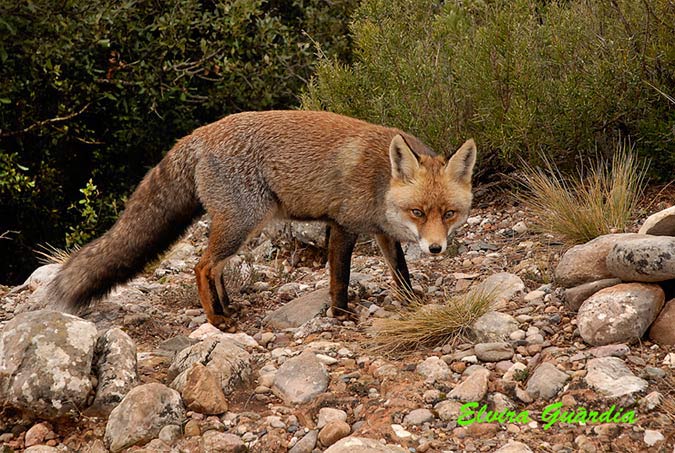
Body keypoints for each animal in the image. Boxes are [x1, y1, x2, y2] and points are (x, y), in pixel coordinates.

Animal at [47, 110, 478, 328]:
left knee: (217, 267)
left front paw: (413, 303)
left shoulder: (383, 234)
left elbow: (400, 272)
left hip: (242, 224)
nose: (435, 248)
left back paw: (226, 307)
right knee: (202, 266)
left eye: (449, 213)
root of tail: (197, 133)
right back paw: (217, 319)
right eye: (418, 212)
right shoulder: (341, 226)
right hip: (242, 221)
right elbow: (339, 280)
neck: (379, 181)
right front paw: (341, 316)